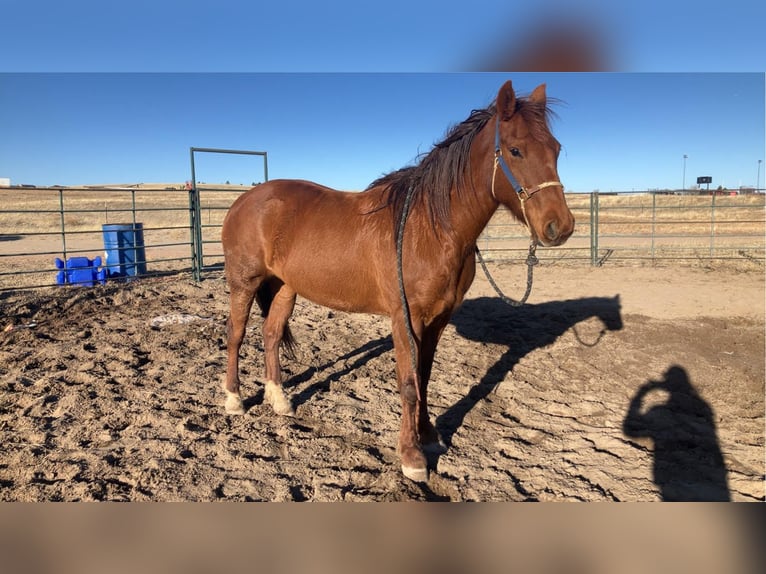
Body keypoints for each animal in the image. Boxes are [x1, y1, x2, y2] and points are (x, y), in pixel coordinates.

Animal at [222, 81, 576, 484]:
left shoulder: (438, 319)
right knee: (236, 334)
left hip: (285, 286)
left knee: (270, 334)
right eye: (516, 150)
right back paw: (234, 400)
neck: (430, 228)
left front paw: (430, 436)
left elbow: (424, 378)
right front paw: (412, 456)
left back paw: (280, 400)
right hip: (244, 282)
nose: (560, 226)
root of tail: (245, 200)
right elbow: (408, 384)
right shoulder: (406, 318)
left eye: (556, 149)